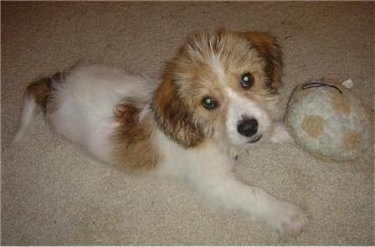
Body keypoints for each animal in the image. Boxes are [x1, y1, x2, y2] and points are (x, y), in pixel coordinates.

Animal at [14, 29, 308, 235]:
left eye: (248, 79)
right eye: (208, 103)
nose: (248, 127)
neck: (206, 133)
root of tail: (54, 86)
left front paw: (287, 131)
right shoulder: (216, 183)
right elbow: (255, 195)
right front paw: (287, 214)